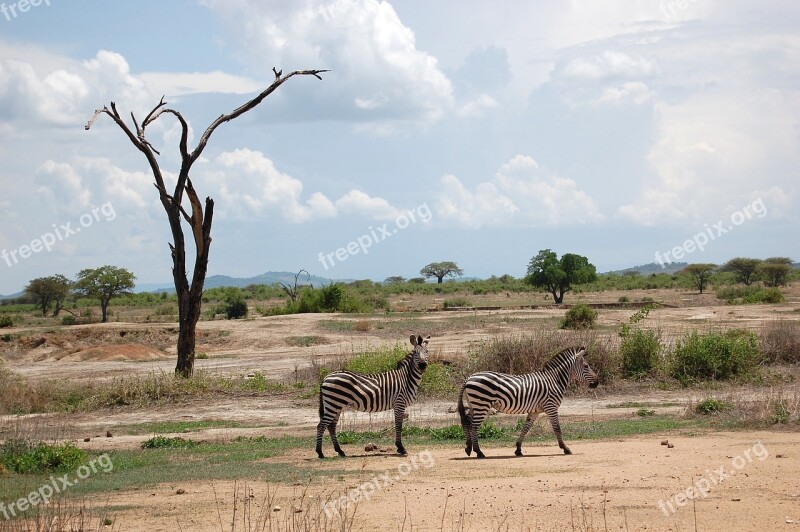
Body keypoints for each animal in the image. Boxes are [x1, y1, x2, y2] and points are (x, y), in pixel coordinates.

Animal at [456, 348, 600, 460]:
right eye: (586, 366)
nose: (597, 382)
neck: (554, 380)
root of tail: (469, 377)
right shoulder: (551, 407)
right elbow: (557, 428)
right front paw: (565, 448)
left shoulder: (534, 411)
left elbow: (526, 428)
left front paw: (518, 449)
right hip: (482, 404)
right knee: (474, 425)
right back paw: (479, 452)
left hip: (475, 404)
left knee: (466, 421)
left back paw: (468, 448)